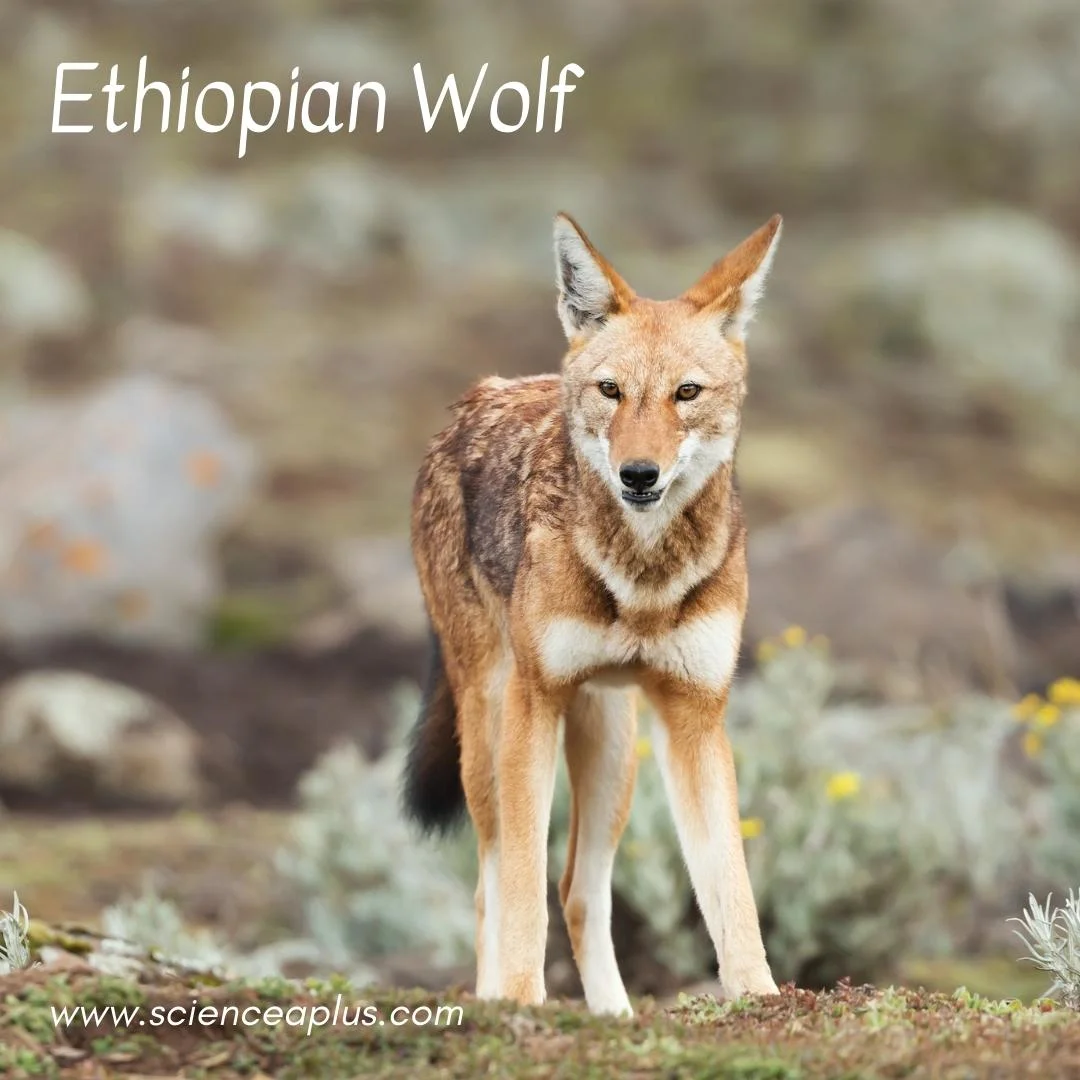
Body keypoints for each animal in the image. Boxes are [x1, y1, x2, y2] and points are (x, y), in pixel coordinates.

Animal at [403, 211, 783, 1015]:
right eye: (612, 391)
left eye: (686, 393)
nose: (639, 474)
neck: (642, 580)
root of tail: (479, 395)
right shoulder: (534, 701)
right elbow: (521, 889)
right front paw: (522, 1000)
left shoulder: (696, 716)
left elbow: (730, 887)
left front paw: (762, 997)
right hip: (489, 724)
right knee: (492, 883)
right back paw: (495, 999)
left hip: (612, 746)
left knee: (580, 890)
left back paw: (615, 1015)